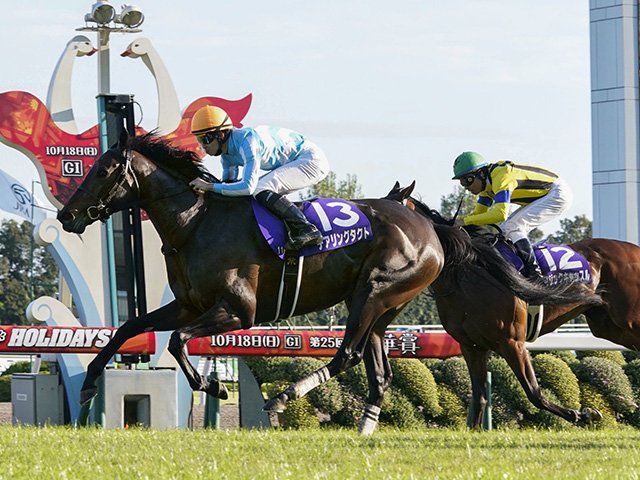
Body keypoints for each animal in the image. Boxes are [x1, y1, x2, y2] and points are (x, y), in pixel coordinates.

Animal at [386, 182, 612, 427]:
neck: (464, 277)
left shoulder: (512, 342)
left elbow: (534, 393)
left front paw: (583, 414)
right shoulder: (471, 345)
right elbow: (479, 397)